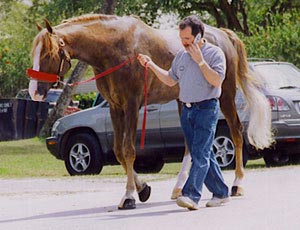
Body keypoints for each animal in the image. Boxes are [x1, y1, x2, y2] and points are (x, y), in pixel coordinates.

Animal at [28, 13, 274, 209]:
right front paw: (143, 189)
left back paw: (237, 185)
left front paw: (129, 197)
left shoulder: (131, 105)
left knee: (236, 131)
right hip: (182, 100)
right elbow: (118, 151)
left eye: (47, 54)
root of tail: (223, 34)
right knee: (190, 144)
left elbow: (128, 150)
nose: (34, 92)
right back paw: (179, 188)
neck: (114, 49)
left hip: (226, 95)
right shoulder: (116, 108)